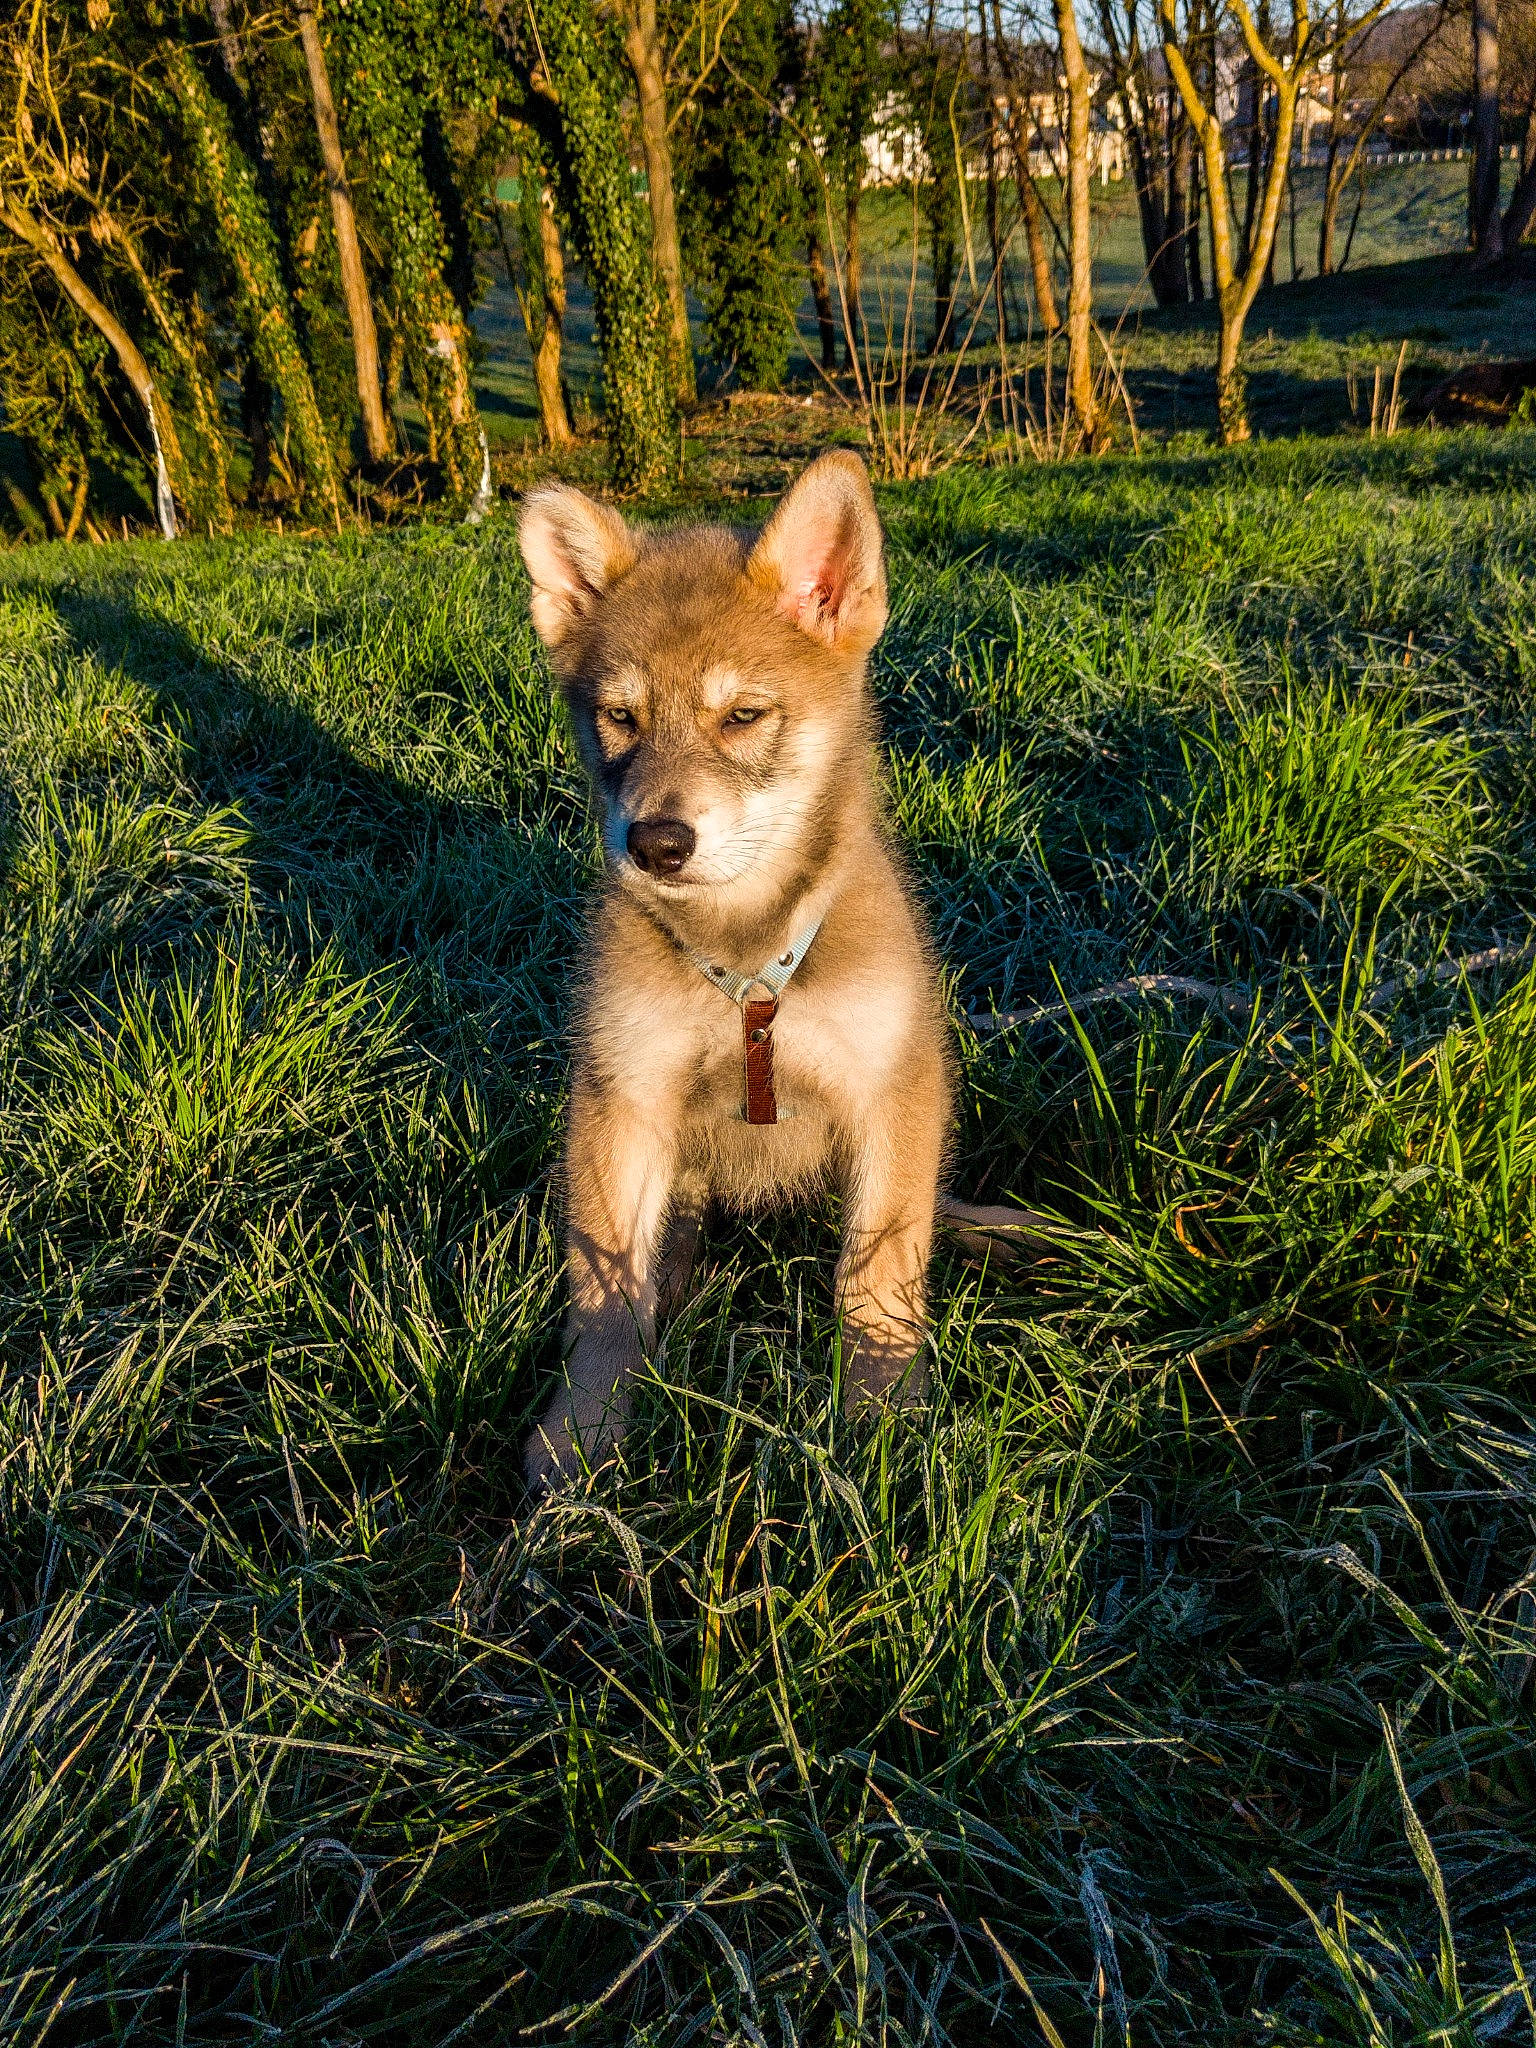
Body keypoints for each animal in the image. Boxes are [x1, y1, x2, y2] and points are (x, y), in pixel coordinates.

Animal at [518, 450, 1037, 1488]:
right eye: (619, 718)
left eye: (743, 715)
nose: (657, 844)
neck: (751, 967)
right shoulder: (620, 1097)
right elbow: (603, 1303)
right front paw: (584, 1433)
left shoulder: (891, 1089)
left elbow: (878, 1279)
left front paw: (882, 1418)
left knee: (930, 1205)